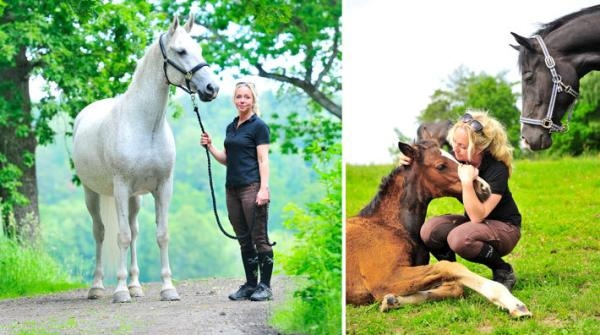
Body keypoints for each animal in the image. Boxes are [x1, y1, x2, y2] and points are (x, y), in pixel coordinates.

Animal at [72, 15, 219, 304]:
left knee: (135, 231)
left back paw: (135, 286)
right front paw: (119, 292)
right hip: (92, 193)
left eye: (199, 50)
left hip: (135, 199)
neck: (145, 126)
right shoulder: (120, 187)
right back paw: (97, 287)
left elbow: (161, 235)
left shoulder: (163, 187)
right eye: (181, 51)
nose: (212, 88)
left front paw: (168, 288)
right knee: (100, 232)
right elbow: (121, 236)